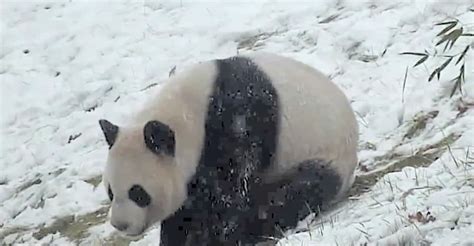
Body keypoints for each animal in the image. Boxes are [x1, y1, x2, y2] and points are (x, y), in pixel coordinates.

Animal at [100, 51, 360, 245]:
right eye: (111, 192)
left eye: (138, 192)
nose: (120, 224)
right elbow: (187, 206)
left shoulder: (237, 125)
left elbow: (229, 191)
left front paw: (216, 236)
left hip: (322, 153)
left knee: (300, 191)